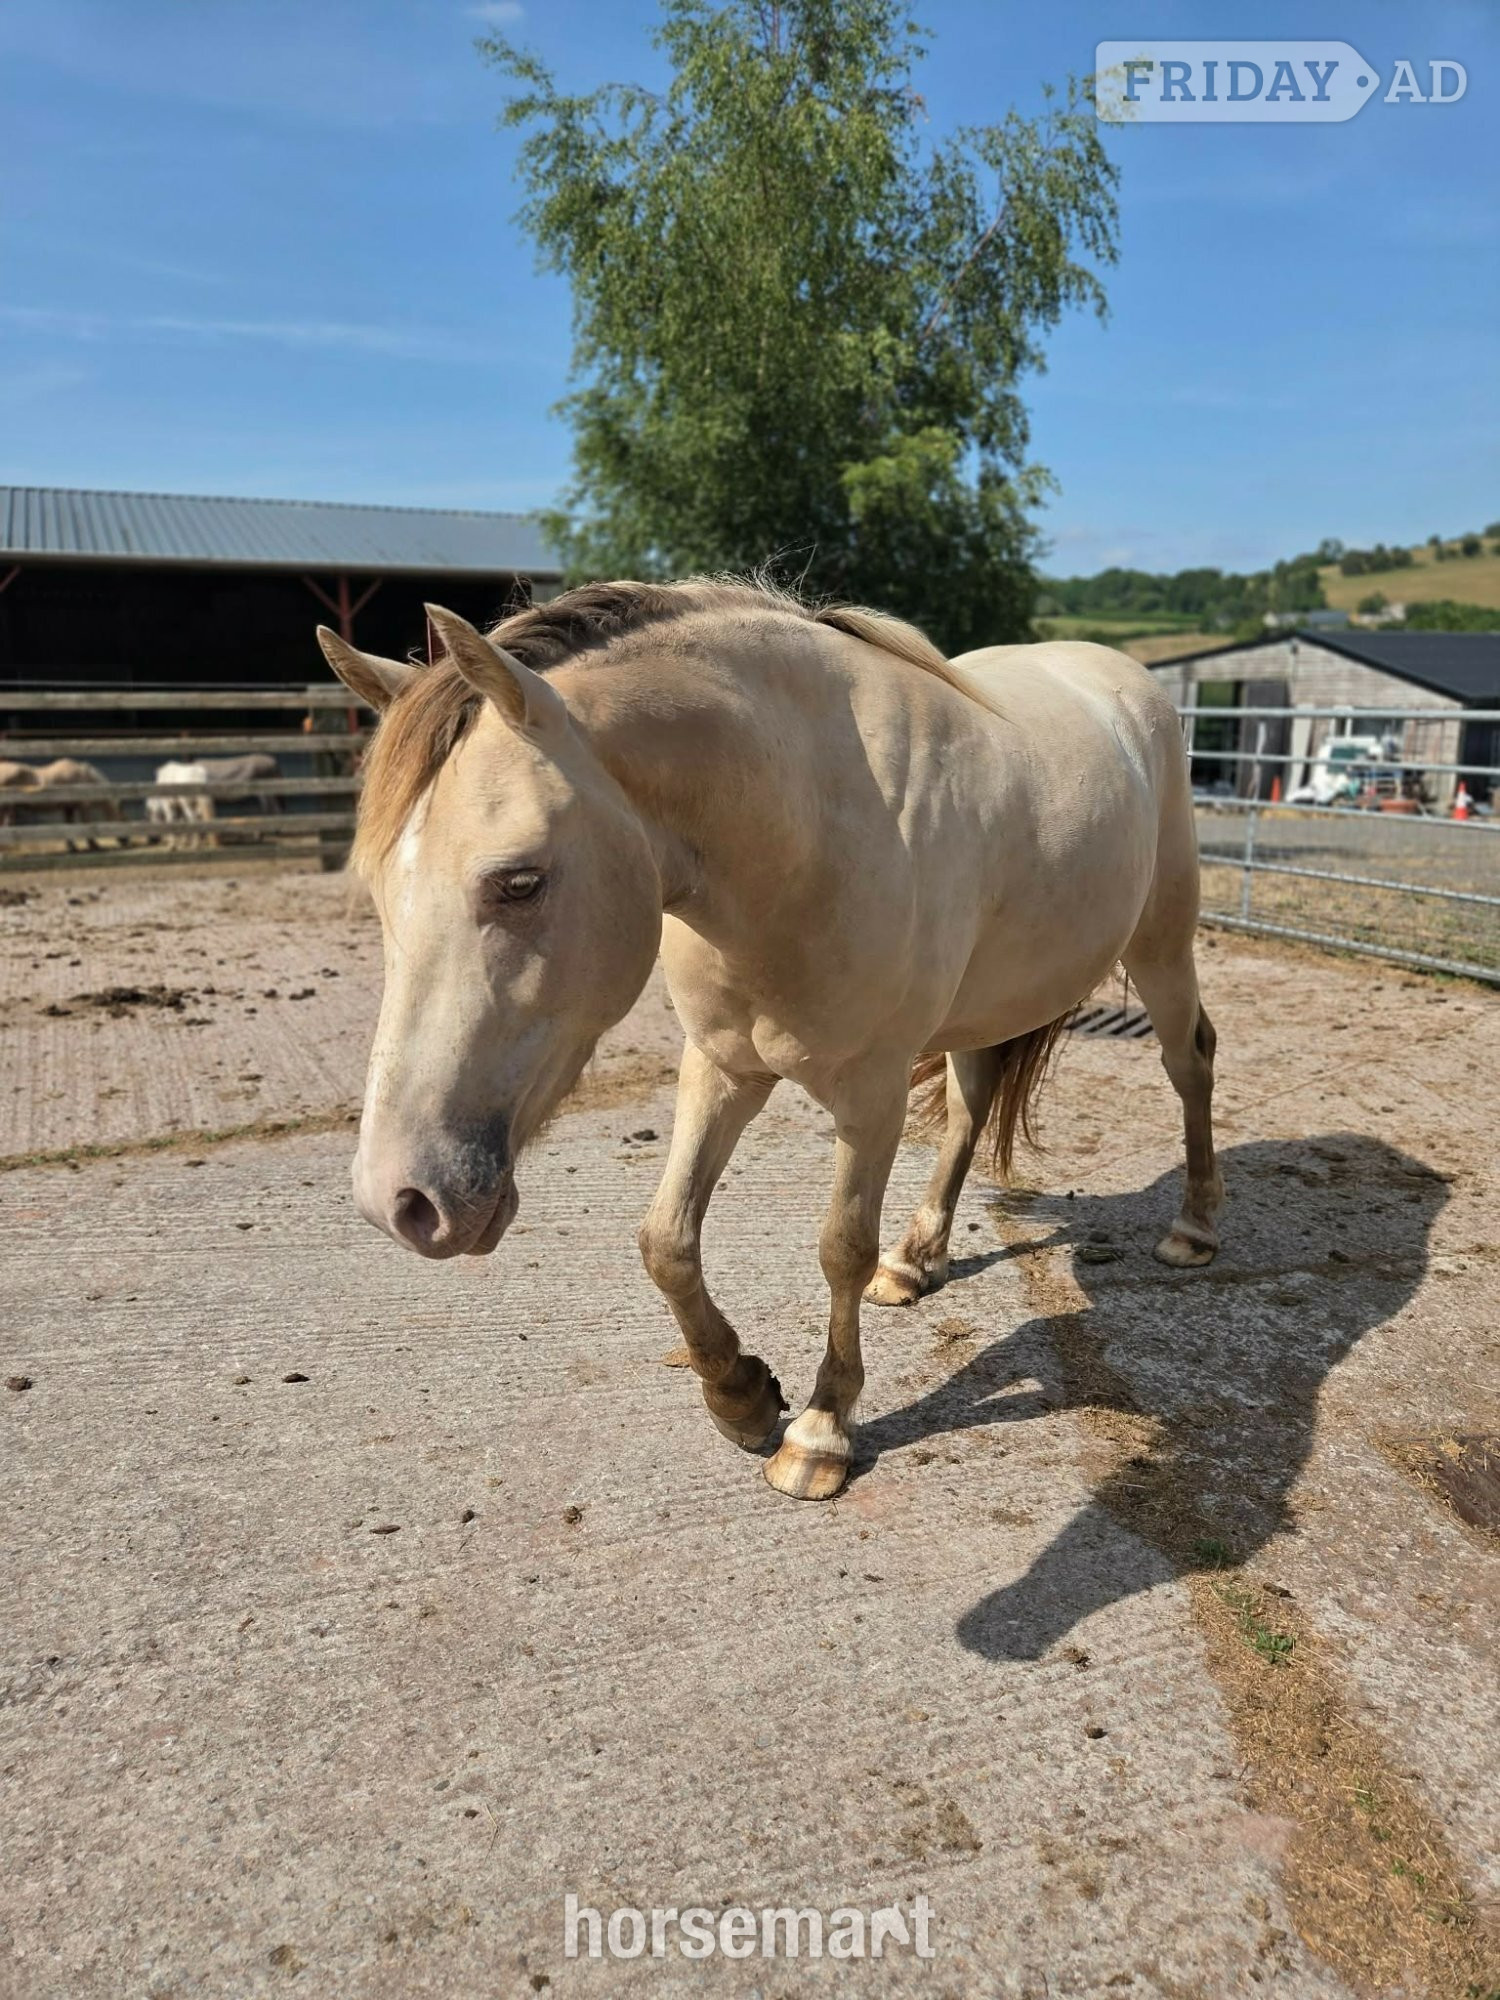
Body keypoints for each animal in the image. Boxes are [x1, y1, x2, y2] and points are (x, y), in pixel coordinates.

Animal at [317, 580, 1222, 1503]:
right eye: (380, 889)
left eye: (519, 882)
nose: (401, 1201)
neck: (814, 826)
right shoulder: (722, 1069)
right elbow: (667, 1240)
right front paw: (741, 1395)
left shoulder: (872, 1095)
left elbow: (840, 1250)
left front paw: (821, 1432)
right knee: (972, 1104)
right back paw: (918, 1259)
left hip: (1161, 945)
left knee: (1189, 1062)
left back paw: (1193, 1229)